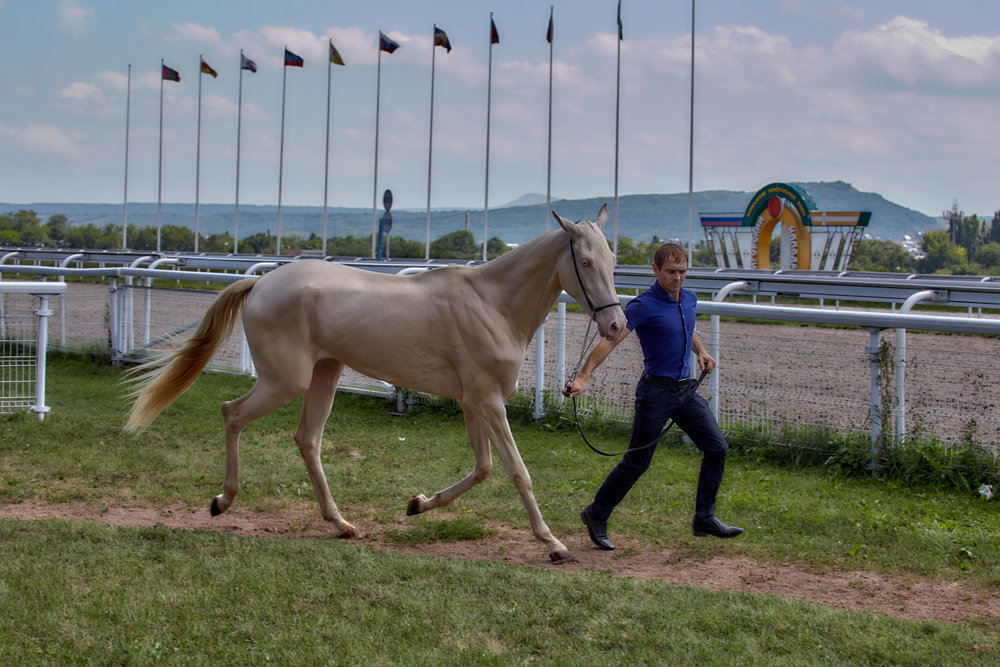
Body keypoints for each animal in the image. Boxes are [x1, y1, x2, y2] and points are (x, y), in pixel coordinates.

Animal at [125, 206, 624, 560]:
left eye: (613, 259)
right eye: (584, 261)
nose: (617, 326)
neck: (493, 304)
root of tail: (262, 284)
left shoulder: (474, 403)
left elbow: (482, 469)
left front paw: (417, 504)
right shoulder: (488, 402)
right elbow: (518, 472)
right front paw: (553, 544)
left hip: (324, 376)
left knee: (307, 439)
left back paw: (341, 524)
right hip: (284, 381)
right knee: (232, 414)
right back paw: (222, 501)